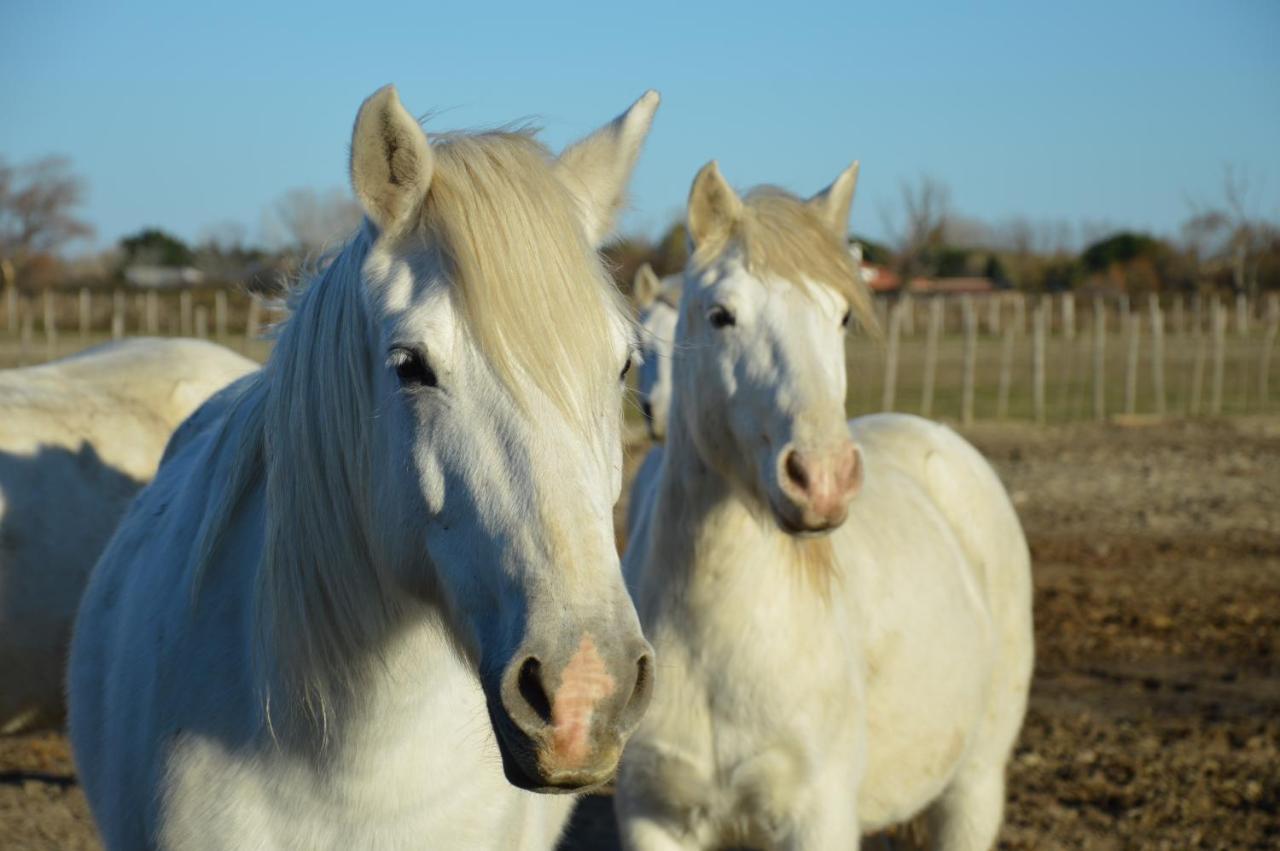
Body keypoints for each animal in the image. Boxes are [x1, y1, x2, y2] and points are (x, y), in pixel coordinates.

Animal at [614, 161, 1034, 849]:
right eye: (720, 315)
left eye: (840, 318)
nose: (823, 479)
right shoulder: (654, 816)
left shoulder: (817, 818)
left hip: (975, 784)